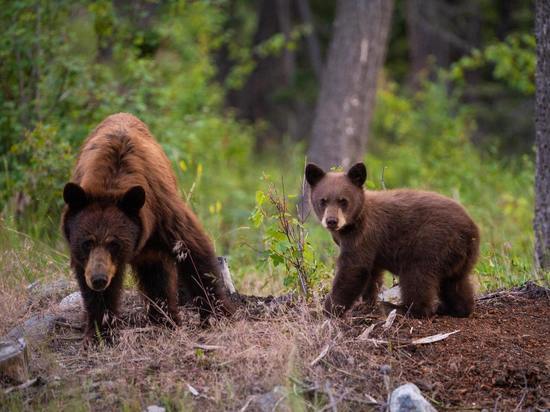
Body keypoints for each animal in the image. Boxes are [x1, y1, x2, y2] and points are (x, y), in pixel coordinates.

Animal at [62, 112, 235, 342]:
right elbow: (94, 293)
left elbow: (193, 253)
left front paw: (218, 314)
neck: (111, 184)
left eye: (114, 243)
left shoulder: (163, 211)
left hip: (152, 246)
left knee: (157, 276)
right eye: (86, 243)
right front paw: (100, 332)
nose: (99, 279)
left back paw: (165, 319)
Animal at [306, 163, 484, 318]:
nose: (332, 221)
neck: (354, 222)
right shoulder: (371, 247)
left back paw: (402, 309)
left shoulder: (363, 235)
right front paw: (367, 302)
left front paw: (329, 310)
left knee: (417, 277)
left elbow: (353, 269)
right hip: (460, 256)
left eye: (343, 201)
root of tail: (470, 230)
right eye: (323, 200)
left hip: (431, 244)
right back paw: (456, 309)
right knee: (456, 283)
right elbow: (372, 273)